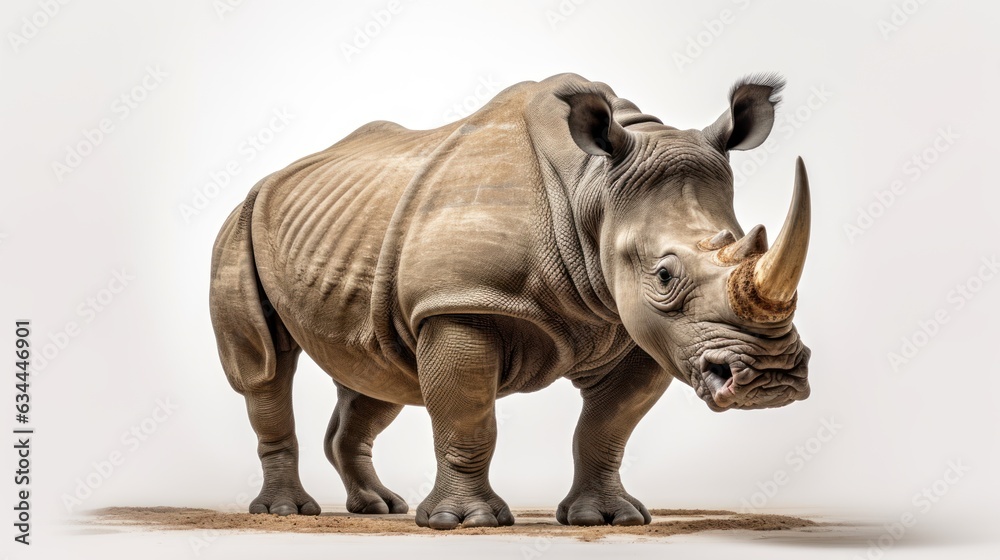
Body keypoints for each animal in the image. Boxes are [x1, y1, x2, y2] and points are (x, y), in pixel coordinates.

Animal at [209, 73, 812, 529]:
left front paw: (608, 518)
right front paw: (465, 522)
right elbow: (468, 418)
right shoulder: (459, 302)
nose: (772, 377)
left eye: (745, 240)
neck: (592, 190)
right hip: (240, 222)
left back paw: (379, 508)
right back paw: (286, 511)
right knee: (265, 367)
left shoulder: (640, 327)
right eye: (664, 275)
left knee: (378, 372)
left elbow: (609, 425)